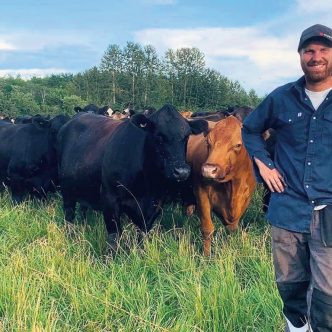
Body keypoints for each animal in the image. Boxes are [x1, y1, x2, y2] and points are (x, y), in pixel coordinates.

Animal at [57, 104, 208, 246]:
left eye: (187, 137)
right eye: (159, 136)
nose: (182, 172)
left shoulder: (154, 206)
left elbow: (142, 236)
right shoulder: (109, 199)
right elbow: (114, 237)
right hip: (67, 191)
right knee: (69, 215)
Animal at [187, 115, 256, 255]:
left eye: (238, 145)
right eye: (208, 143)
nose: (208, 170)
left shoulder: (246, 197)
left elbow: (232, 227)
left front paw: (230, 248)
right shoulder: (201, 193)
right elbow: (207, 229)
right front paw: (206, 256)